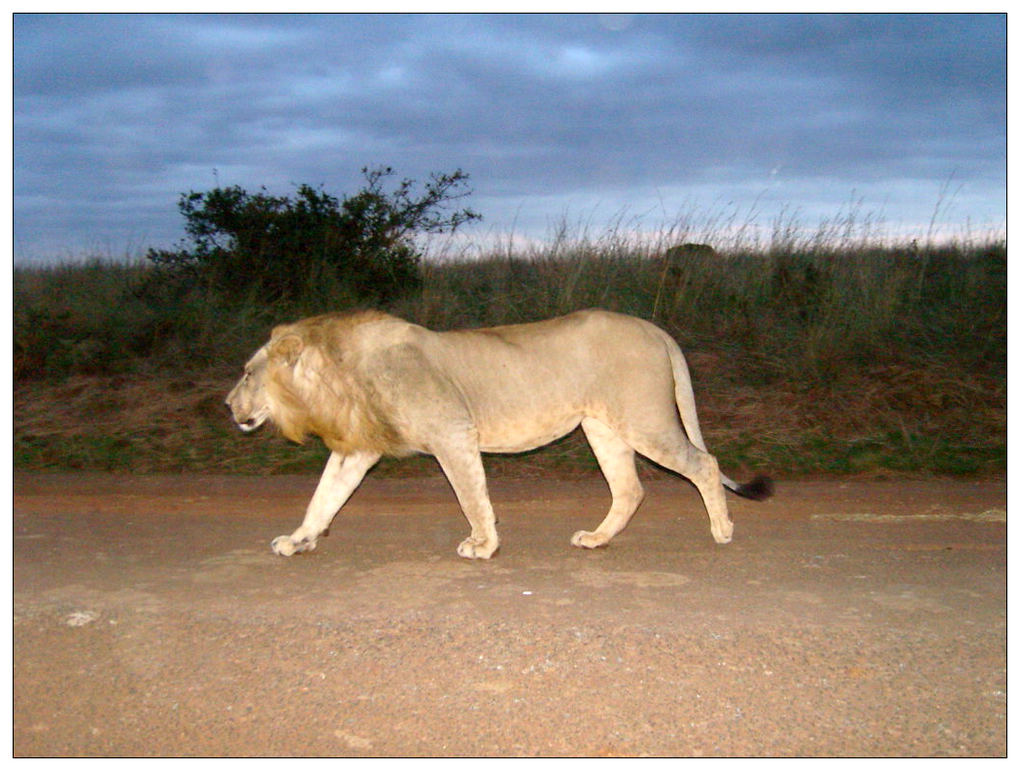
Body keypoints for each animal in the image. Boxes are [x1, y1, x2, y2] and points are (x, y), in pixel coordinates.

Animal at [227, 307, 771, 558]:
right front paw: (298, 540)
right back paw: (597, 538)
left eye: (248, 373)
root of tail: (653, 327)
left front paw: (483, 545)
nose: (227, 405)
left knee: (705, 464)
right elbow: (323, 499)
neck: (336, 378)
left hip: (644, 419)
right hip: (602, 427)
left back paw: (722, 530)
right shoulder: (357, 448)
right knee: (630, 489)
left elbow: (471, 496)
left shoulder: (452, 433)